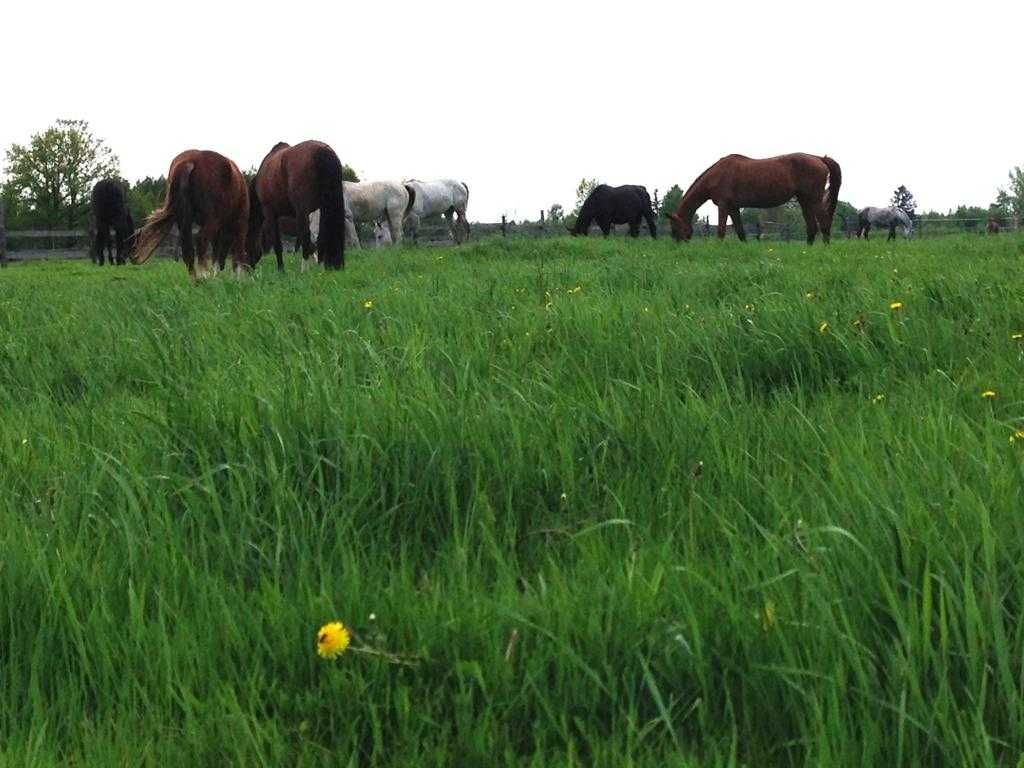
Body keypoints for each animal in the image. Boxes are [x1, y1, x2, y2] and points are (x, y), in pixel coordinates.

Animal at [129, 149, 248, 280]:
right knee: (201, 240)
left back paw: (196, 279)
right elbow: (238, 249)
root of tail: (188, 162)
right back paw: (204, 275)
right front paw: (239, 278)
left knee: (187, 249)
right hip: (212, 218)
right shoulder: (240, 222)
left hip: (184, 218)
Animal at [248, 140, 346, 270]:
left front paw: (281, 270)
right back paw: (320, 269)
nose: (247, 266)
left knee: (306, 236)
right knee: (322, 236)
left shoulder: (270, 213)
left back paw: (304, 270)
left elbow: (278, 244)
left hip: (302, 210)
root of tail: (322, 150)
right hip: (323, 207)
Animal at [667, 153, 843, 243]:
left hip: (814, 199)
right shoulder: (733, 207)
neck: (716, 175)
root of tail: (819, 158)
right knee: (812, 226)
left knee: (824, 224)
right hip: (804, 200)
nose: (679, 245)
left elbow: (721, 231)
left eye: (675, 228)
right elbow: (740, 232)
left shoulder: (723, 206)